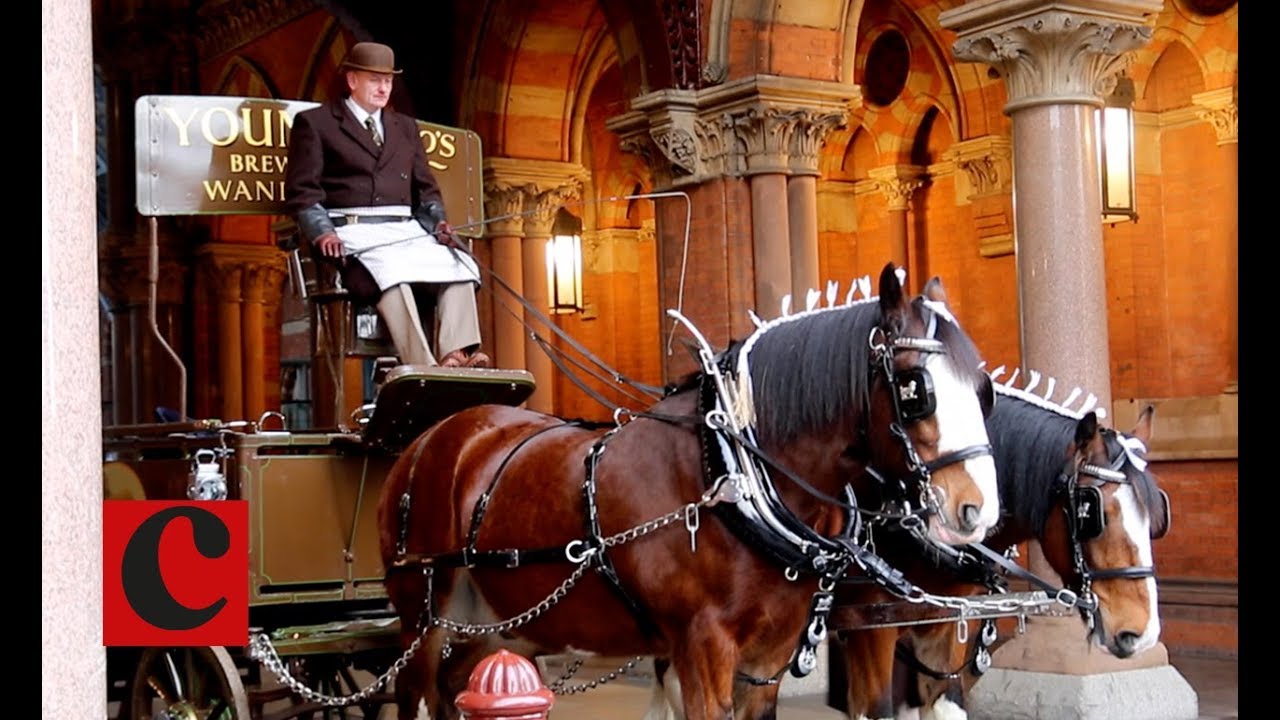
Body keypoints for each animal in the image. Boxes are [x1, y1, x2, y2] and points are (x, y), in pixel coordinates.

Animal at [375, 262, 1001, 720]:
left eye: (984, 390)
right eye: (915, 388)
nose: (979, 509)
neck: (731, 474)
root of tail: (438, 434)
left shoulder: (768, 658)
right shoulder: (702, 651)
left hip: (507, 620)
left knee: (456, 684)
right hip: (422, 617)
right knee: (416, 693)